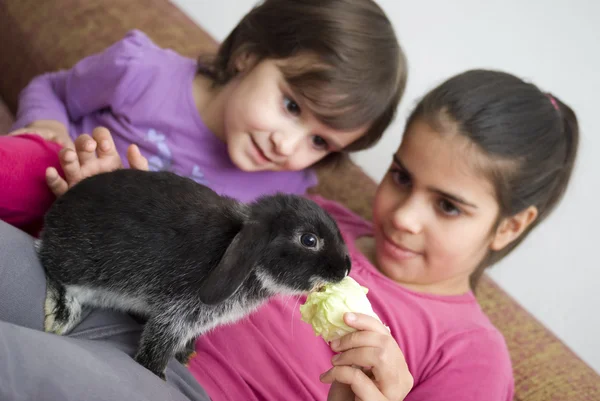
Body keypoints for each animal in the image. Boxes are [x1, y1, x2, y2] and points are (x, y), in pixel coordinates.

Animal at [34, 168, 352, 378]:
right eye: (309, 240)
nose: (345, 268)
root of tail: (52, 217)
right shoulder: (179, 312)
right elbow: (161, 340)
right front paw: (155, 372)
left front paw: (186, 353)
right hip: (78, 263)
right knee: (47, 262)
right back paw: (60, 315)